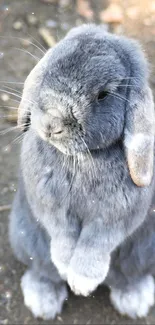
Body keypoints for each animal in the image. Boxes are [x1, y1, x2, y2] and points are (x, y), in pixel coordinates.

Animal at [9, 24, 155, 318]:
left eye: (103, 95)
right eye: (48, 70)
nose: (52, 124)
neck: (81, 159)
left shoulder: (114, 218)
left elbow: (95, 243)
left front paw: (82, 282)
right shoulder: (50, 206)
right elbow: (62, 234)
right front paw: (67, 268)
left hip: (143, 252)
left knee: (127, 277)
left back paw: (135, 301)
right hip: (25, 238)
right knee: (43, 271)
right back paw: (43, 302)